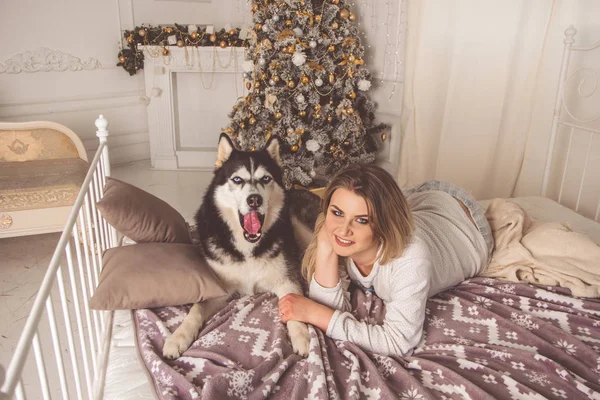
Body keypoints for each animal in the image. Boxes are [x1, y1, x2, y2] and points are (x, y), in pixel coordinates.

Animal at [164, 133, 314, 358]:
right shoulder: (217, 287)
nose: (254, 200)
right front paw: (178, 337)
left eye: (266, 179)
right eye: (237, 179)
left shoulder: (286, 279)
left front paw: (301, 337)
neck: (247, 248)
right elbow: (195, 310)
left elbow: (294, 304)